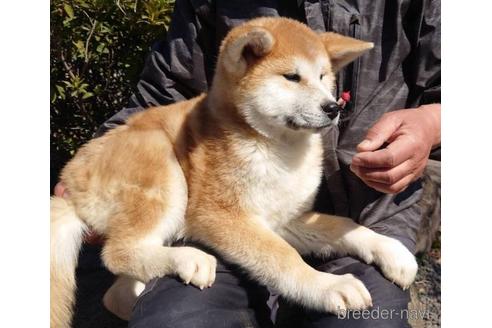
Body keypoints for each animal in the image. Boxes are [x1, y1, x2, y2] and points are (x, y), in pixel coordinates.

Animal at [51, 18, 418, 328]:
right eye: (292, 77)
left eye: (323, 77)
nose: (333, 107)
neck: (277, 150)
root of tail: (70, 179)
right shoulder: (222, 216)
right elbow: (282, 258)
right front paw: (326, 286)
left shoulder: (283, 221)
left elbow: (343, 225)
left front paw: (390, 250)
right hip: (161, 160)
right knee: (117, 254)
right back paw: (187, 259)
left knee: (115, 292)